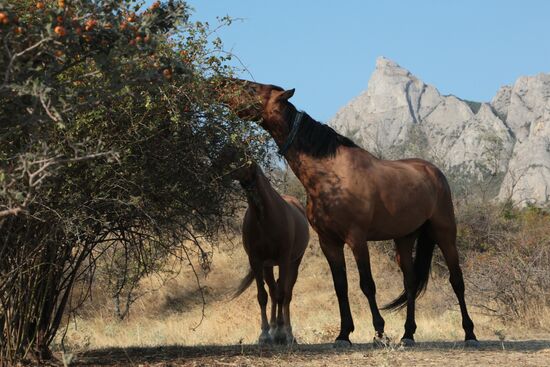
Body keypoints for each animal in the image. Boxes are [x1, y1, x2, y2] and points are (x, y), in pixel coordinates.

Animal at [225, 150, 310, 344]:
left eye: (242, 157)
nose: (223, 171)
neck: (265, 218)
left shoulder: (284, 259)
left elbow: (283, 295)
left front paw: (281, 332)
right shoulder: (257, 261)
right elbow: (262, 296)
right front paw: (265, 333)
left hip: (294, 263)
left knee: (286, 294)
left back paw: (287, 332)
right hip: (268, 266)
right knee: (273, 291)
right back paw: (273, 329)